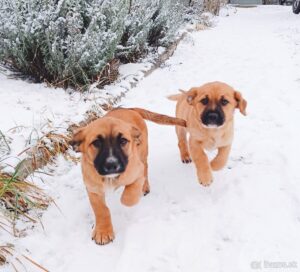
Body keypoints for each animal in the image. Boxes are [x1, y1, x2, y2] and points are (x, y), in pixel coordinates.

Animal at [71, 107, 186, 245]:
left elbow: (128, 197)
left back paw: (144, 187)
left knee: (145, 167)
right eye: (96, 143)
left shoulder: (137, 171)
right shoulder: (93, 189)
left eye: (123, 141)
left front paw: (130, 196)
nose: (112, 164)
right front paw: (103, 231)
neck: (111, 178)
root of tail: (128, 108)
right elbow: (101, 210)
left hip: (143, 153)